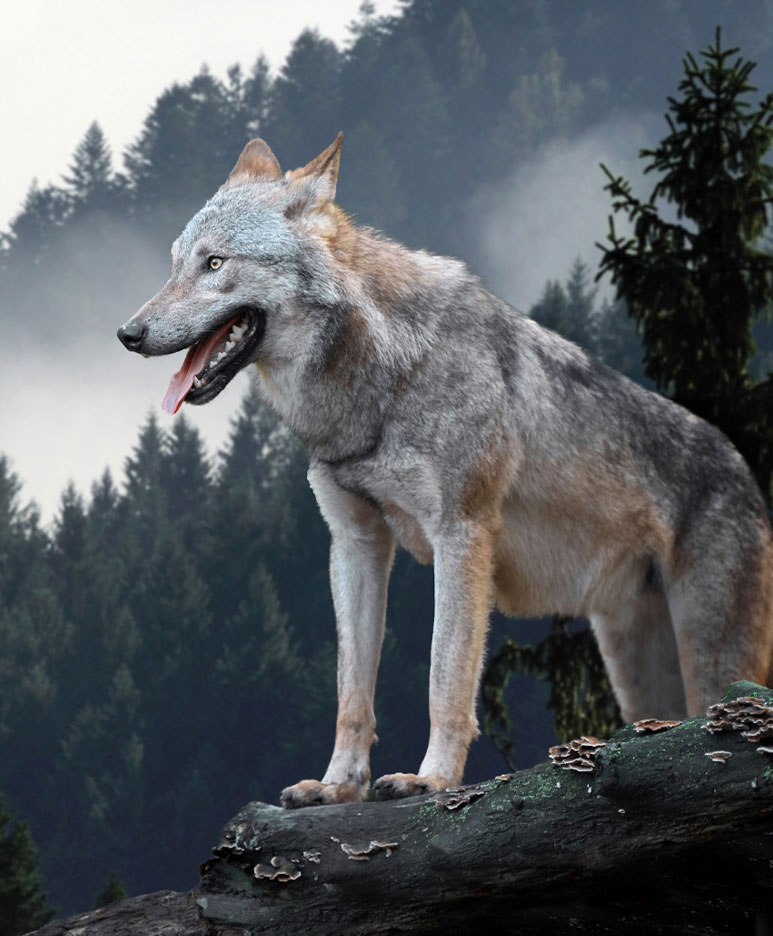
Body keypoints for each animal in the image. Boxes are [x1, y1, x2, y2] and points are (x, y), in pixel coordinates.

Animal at [118, 133, 773, 807]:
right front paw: (337, 786)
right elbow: (351, 692)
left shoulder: (461, 535)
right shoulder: (354, 544)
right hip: (636, 673)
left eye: (215, 263)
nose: (127, 333)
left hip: (710, 661)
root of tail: (743, 468)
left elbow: (445, 676)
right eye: (176, 264)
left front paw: (431, 779)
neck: (379, 381)